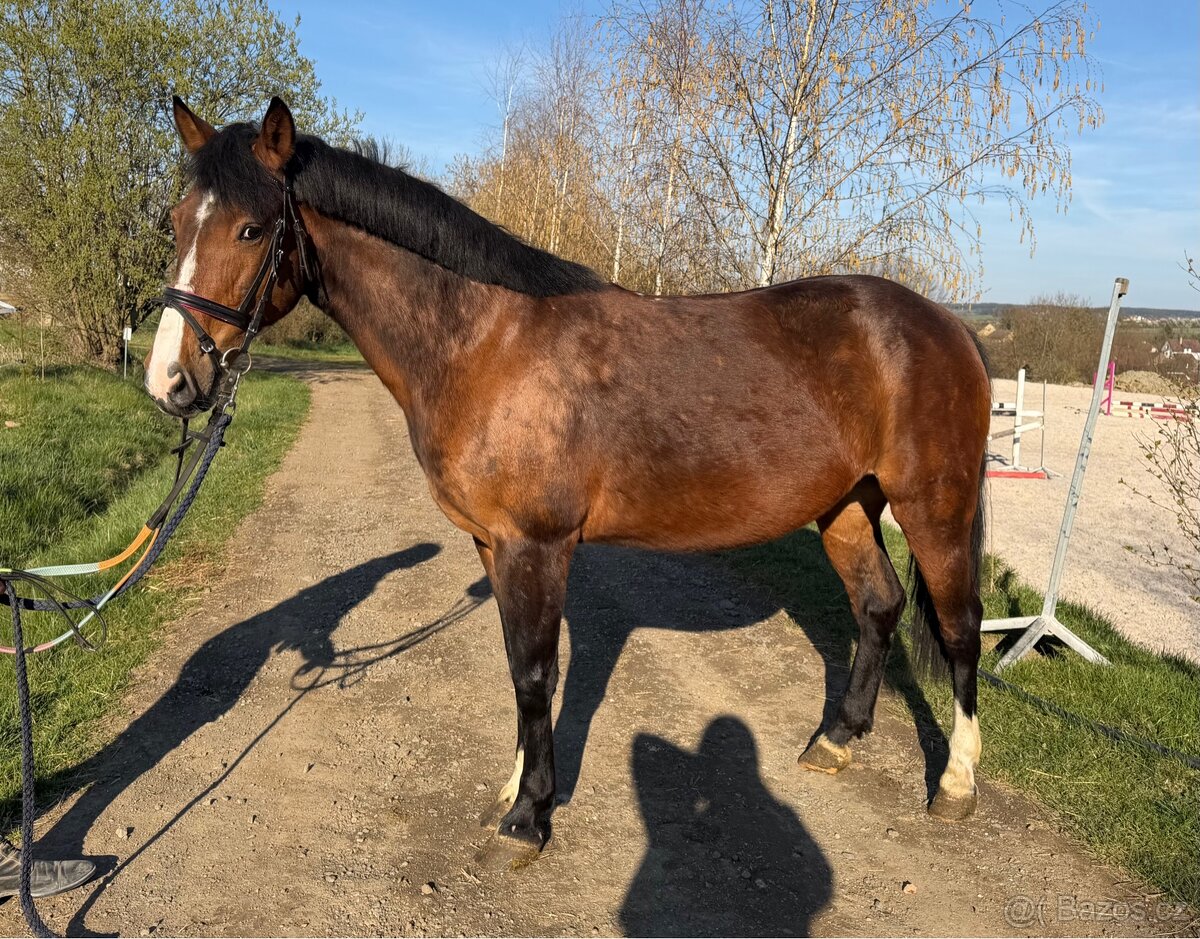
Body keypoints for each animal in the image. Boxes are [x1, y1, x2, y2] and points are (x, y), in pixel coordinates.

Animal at [145, 96, 991, 869]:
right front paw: (514, 786)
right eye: (178, 220)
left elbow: (535, 671)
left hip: (934, 505)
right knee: (879, 605)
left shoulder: (537, 544)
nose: (171, 382)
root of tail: (948, 325)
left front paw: (530, 816)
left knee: (959, 627)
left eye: (251, 229)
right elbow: (517, 669)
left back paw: (955, 784)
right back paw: (836, 740)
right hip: (846, 504)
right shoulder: (493, 544)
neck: (484, 342)